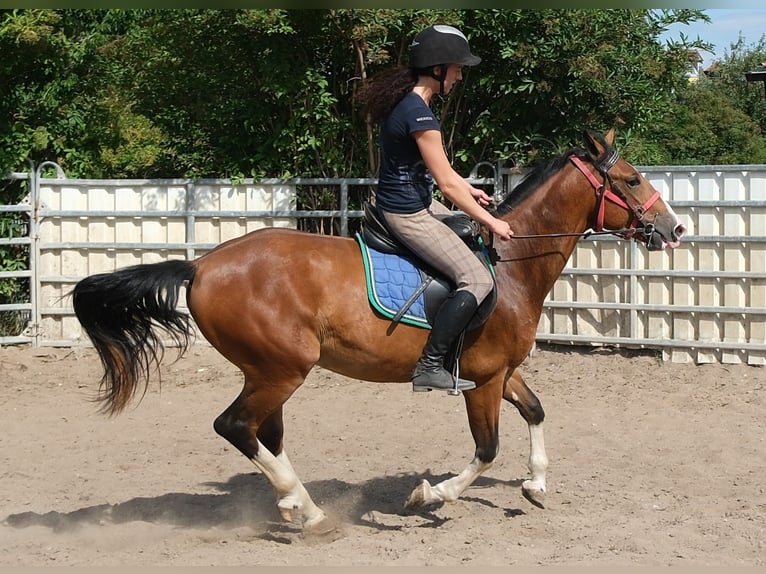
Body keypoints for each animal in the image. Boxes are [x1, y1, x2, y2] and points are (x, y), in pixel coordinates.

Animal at [71, 129, 686, 533]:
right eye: (631, 180)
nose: (675, 228)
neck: (511, 263)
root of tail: (200, 265)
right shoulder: (483, 380)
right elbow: (486, 449)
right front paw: (428, 494)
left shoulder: (502, 371)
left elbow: (535, 411)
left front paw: (535, 485)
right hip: (282, 369)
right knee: (236, 426)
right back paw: (310, 511)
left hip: (267, 371)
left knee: (263, 433)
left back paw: (296, 506)